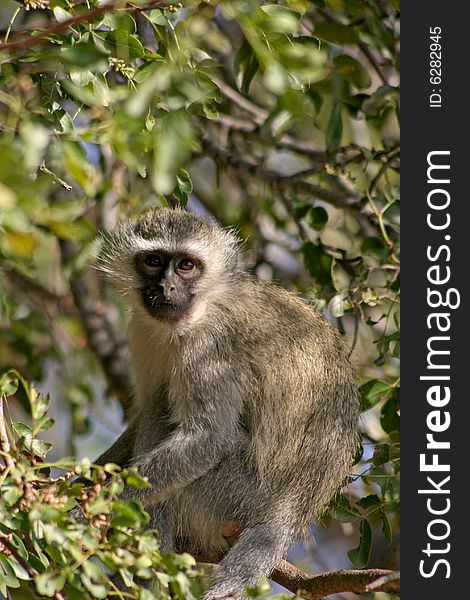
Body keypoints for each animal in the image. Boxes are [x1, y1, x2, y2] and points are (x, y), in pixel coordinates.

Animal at [95, 207, 360, 600]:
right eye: (154, 261)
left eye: (187, 265)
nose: (166, 288)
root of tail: (294, 506)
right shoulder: (143, 333)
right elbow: (143, 417)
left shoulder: (209, 349)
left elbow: (210, 437)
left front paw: (93, 503)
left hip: (232, 497)